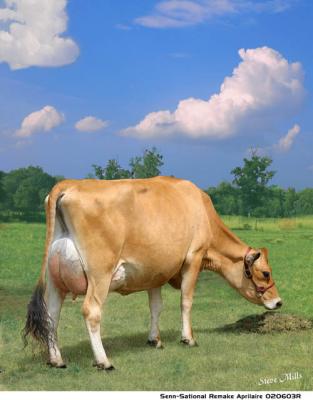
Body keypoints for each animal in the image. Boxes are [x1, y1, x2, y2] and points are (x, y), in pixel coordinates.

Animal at [23, 177, 282, 370]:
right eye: (266, 273)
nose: (279, 302)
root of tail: (68, 184)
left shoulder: (155, 271)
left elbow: (156, 307)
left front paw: (154, 339)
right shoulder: (194, 258)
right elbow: (186, 301)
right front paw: (188, 338)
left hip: (55, 279)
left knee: (51, 314)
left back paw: (56, 359)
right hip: (100, 273)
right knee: (91, 311)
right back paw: (103, 361)